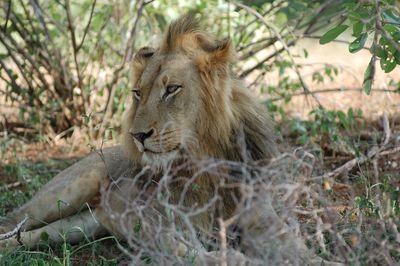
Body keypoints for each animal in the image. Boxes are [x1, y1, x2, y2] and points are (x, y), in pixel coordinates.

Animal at [0, 15, 338, 266]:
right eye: (138, 93)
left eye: (172, 89)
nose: (138, 136)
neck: (204, 159)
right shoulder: (158, 222)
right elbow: (208, 256)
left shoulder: (258, 214)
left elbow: (294, 246)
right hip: (70, 189)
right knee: (13, 220)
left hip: (82, 225)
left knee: (36, 236)